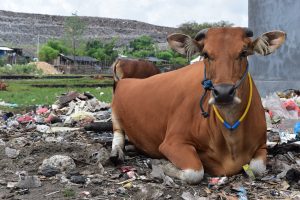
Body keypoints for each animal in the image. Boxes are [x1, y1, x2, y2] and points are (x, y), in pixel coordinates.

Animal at [110, 27, 286, 184]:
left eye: (243, 52)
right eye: (206, 54)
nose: (223, 92)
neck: (231, 136)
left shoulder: (262, 145)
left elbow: (257, 168)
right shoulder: (172, 142)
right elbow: (195, 172)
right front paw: (161, 163)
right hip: (115, 113)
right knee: (118, 134)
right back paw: (116, 153)